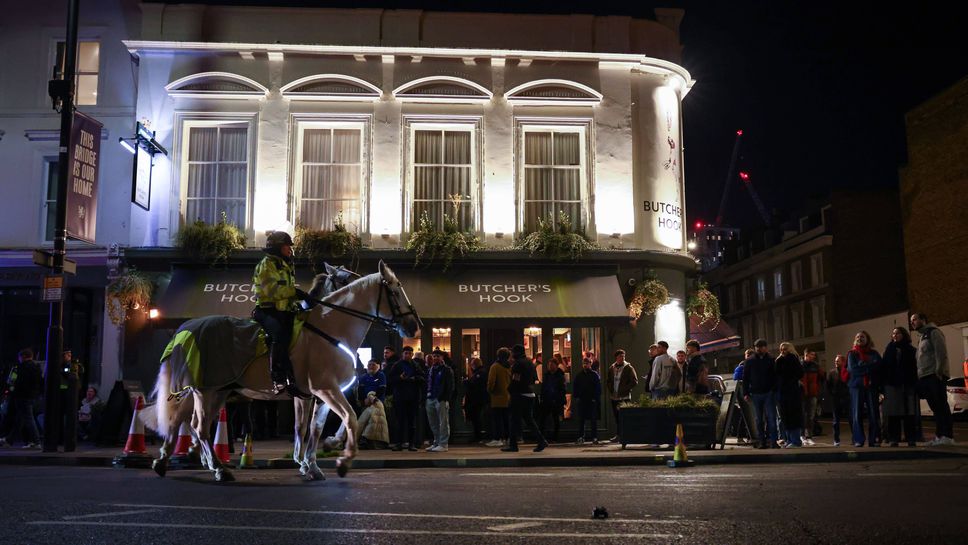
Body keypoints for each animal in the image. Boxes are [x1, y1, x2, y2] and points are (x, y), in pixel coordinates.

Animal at [150, 262, 420, 482]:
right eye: (394, 291)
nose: (413, 326)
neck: (329, 328)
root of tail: (186, 328)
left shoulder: (316, 394)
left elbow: (314, 427)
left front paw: (312, 463)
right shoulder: (325, 389)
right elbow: (349, 417)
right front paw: (341, 461)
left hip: (215, 391)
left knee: (184, 421)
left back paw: (170, 460)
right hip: (206, 391)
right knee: (199, 426)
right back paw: (217, 468)